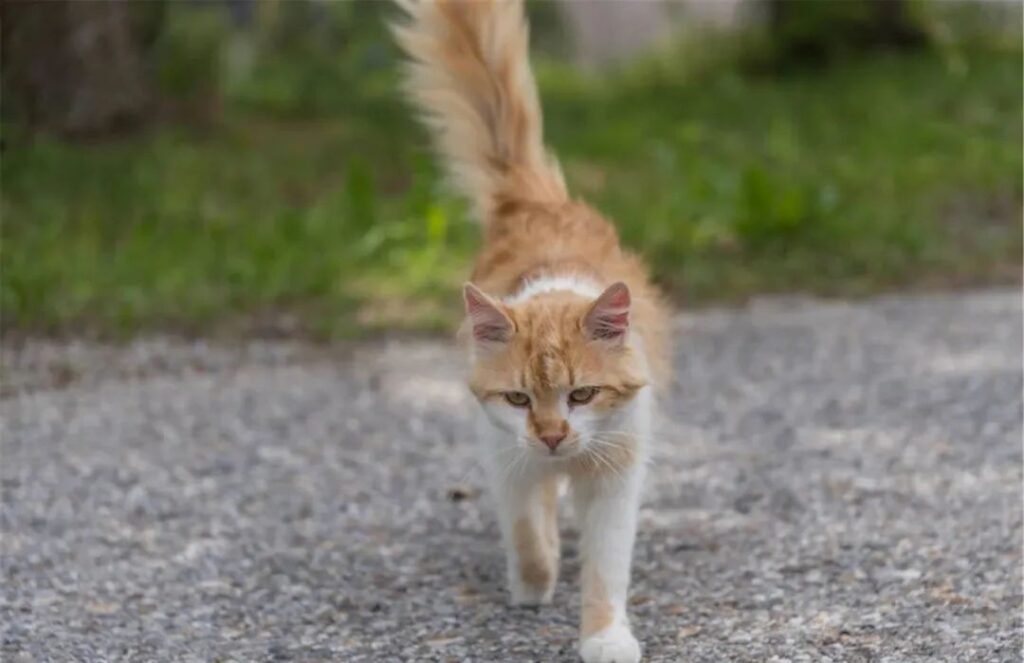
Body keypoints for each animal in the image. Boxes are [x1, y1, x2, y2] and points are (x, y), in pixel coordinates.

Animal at [387, 2, 667, 659]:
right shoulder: (504, 455)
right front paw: (533, 585)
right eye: (519, 398)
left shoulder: (617, 474)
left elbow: (606, 569)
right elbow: (525, 534)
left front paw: (605, 636)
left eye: (583, 393)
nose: (552, 435)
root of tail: (533, 202)